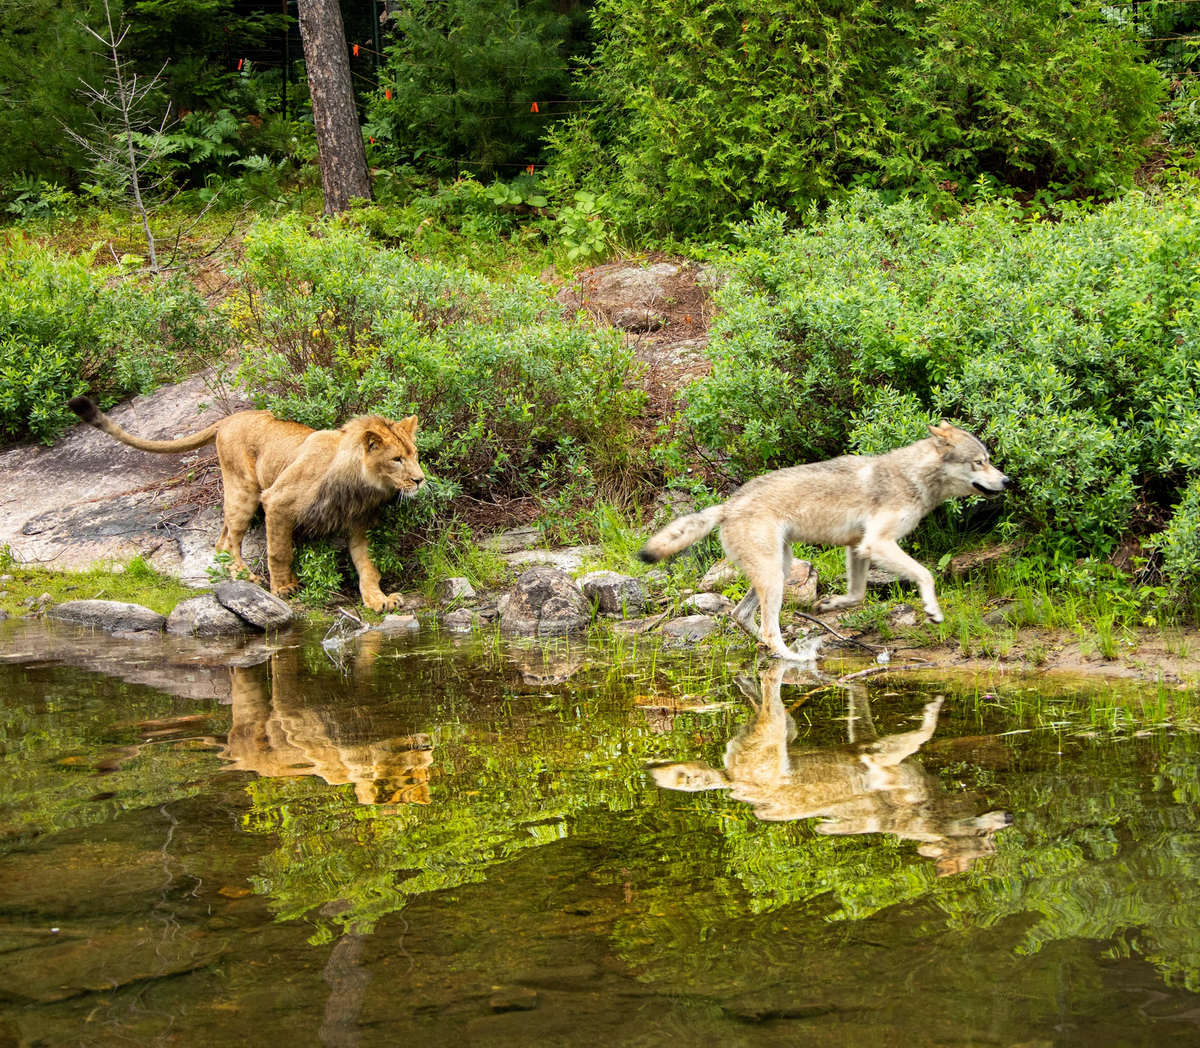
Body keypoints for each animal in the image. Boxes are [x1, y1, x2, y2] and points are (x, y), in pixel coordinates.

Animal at [68, 393, 427, 609]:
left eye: (414, 454)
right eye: (396, 459)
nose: (420, 479)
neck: (361, 484)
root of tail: (229, 418)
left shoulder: (358, 523)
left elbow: (367, 566)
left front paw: (379, 599)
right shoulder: (277, 501)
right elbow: (280, 551)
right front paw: (282, 589)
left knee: (222, 539)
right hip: (244, 489)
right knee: (228, 541)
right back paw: (248, 578)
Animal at [643, 420, 1008, 653]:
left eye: (989, 460)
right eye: (979, 462)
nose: (1006, 481)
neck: (912, 476)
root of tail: (728, 505)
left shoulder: (858, 548)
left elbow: (857, 595)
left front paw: (829, 603)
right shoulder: (877, 543)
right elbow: (926, 574)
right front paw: (932, 610)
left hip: (780, 569)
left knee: (742, 617)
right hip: (775, 576)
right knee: (769, 629)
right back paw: (793, 661)